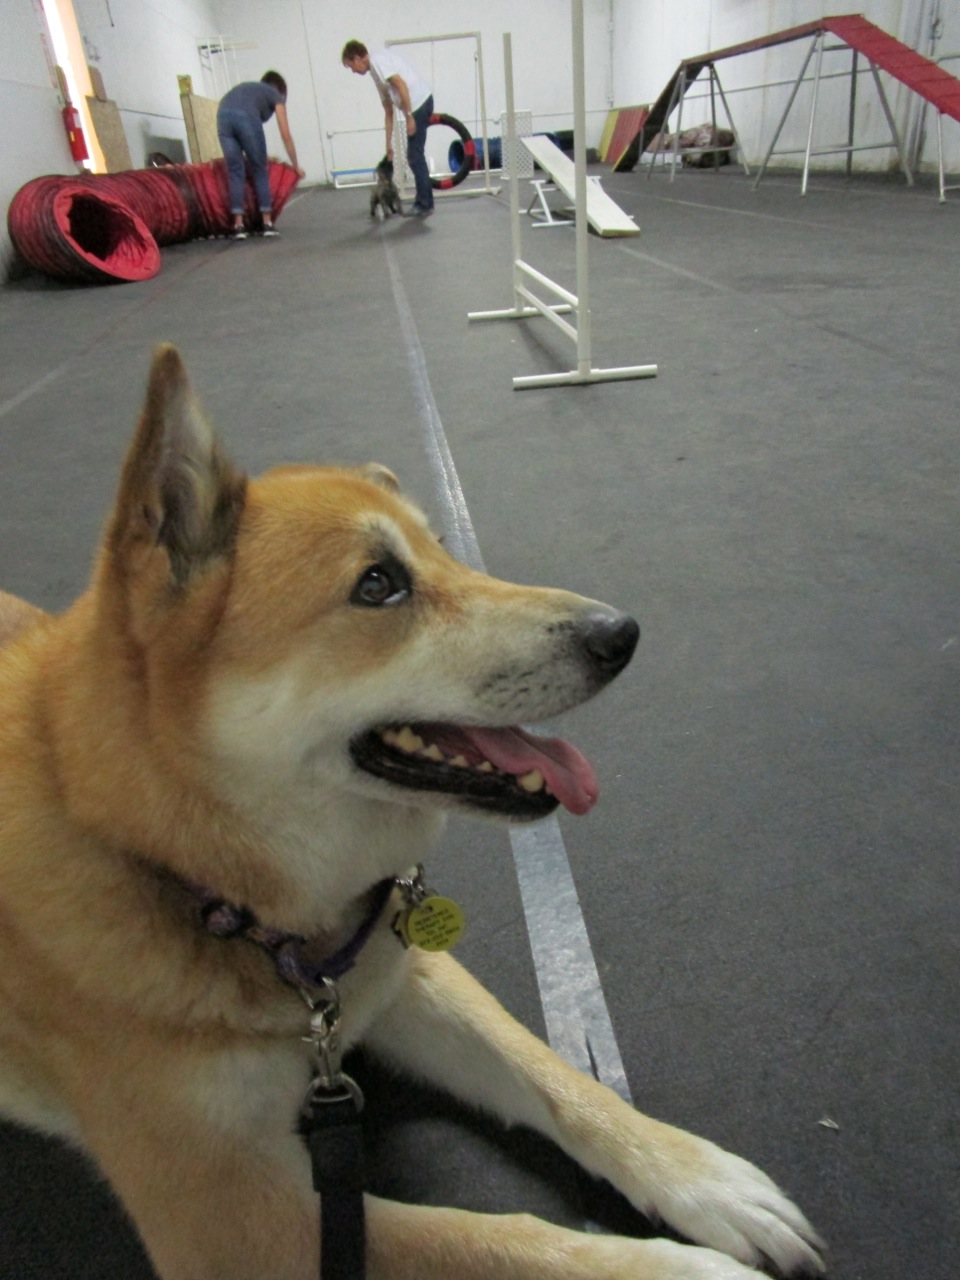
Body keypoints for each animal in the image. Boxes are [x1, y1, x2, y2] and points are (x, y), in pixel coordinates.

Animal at [0, 346, 824, 1280]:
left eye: (444, 552)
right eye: (380, 584)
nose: (622, 633)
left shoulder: (402, 974)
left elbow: (552, 1074)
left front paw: (697, 1177)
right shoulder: (233, 1220)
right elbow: (499, 1239)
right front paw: (678, 1270)